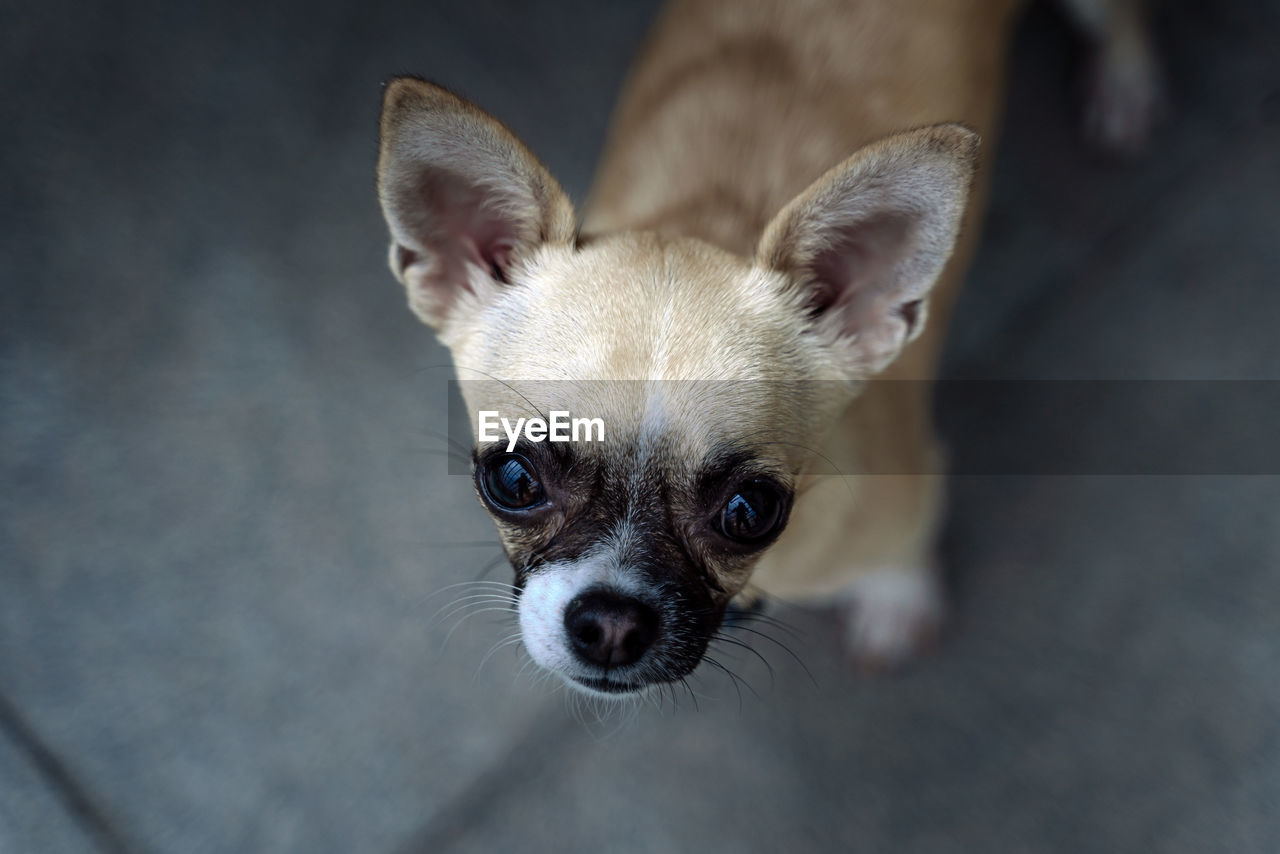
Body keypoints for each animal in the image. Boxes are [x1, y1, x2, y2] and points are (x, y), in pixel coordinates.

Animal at [373, 0, 1162, 696]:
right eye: (512, 480)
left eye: (752, 511)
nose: (611, 624)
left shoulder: (913, 495)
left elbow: (905, 557)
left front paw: (899, 603)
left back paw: (1126, 87)